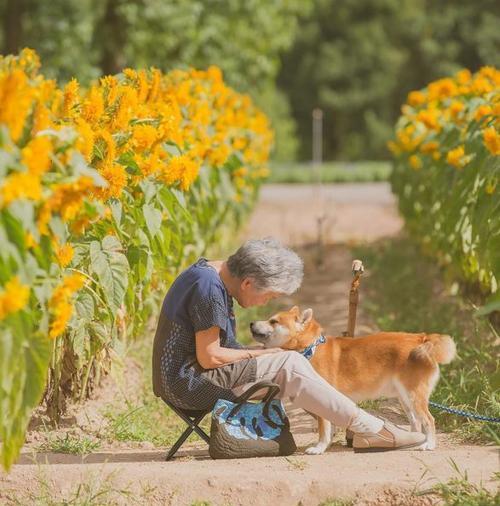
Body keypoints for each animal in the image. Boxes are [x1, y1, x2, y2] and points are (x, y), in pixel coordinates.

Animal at [248, 306, 456, 456]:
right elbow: (329, 426)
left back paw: (429, 444)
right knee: (416, 421)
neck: (309, 348)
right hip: (405, 399)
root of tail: (421, 338)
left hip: (413, 395)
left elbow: (324, 428)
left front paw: (319, 448)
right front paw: (327, 444)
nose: (250, 323)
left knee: (428, 420)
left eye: (273, 321)